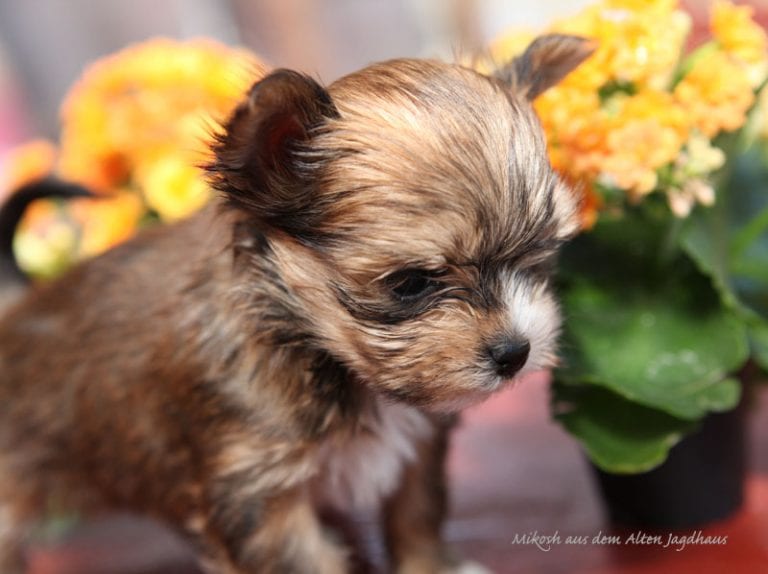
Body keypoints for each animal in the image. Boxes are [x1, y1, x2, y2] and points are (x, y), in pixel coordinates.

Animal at [0, 36, 592, 574]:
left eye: (540, 258)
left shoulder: (415, 445)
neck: (318, 352)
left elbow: (417, 516)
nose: (516, 352)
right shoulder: (258, 500)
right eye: (411, 283)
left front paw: (432, 567)